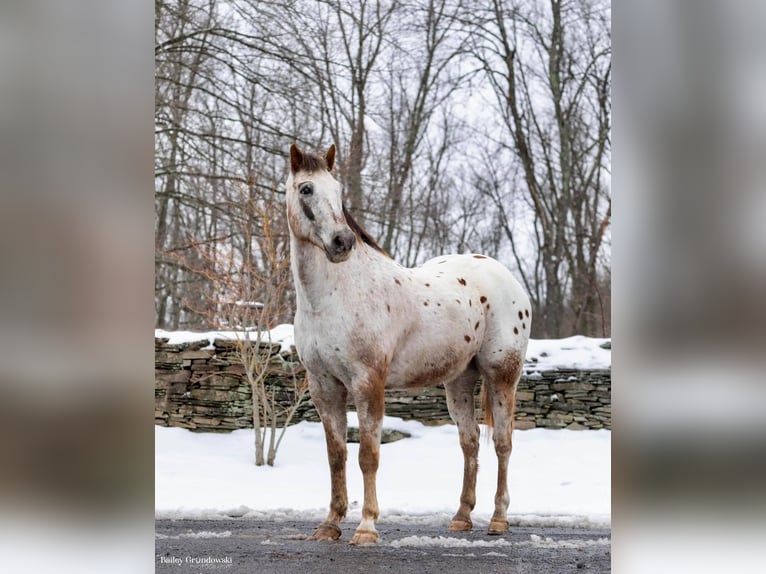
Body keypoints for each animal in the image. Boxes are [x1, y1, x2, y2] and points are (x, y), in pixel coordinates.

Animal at [284, 145, 532, 548]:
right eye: (306, 189)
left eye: (337, 191)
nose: (342, 243)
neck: (336, 295)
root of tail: (506, 278)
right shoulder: (324, 387)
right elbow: (336, 456)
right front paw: (330, 524)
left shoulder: (368, 383)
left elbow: (368, 455)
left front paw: (366, 527)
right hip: (459, 381)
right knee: (470, 442)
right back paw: (461, 517)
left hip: (502, 376)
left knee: (503, 443)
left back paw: (498, 519)